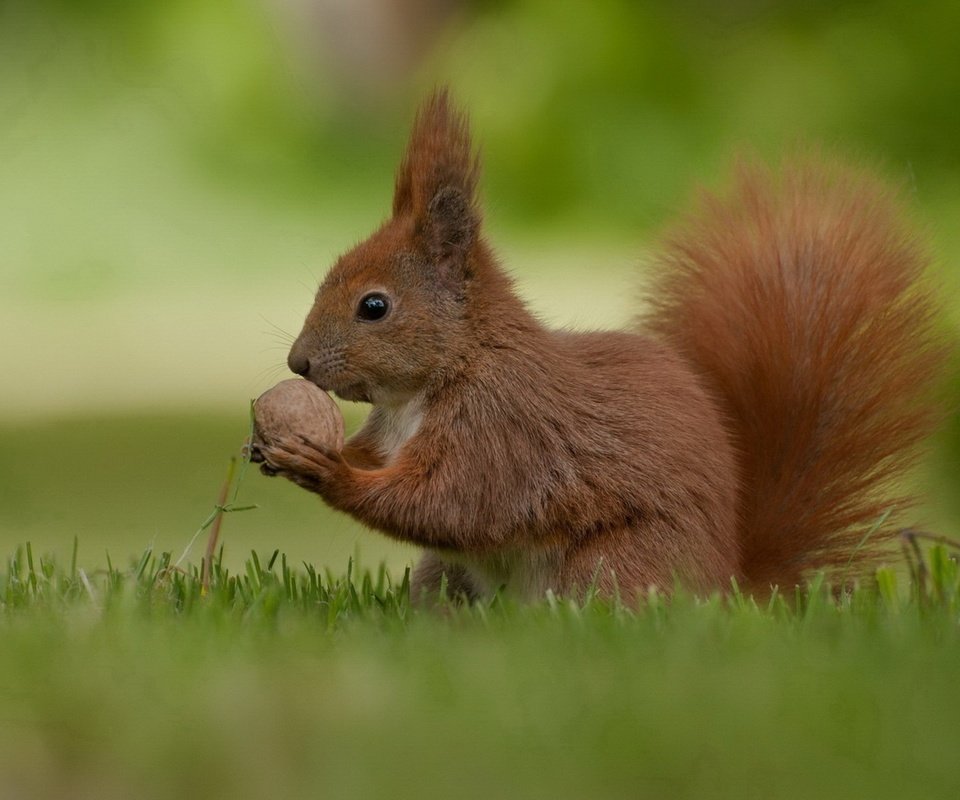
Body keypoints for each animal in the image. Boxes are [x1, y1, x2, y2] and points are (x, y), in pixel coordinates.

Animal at [255, 89, 944, 600]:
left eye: (374, 306)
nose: (298, 362)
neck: (431, 383)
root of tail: (728, 585)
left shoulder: (504, 431)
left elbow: (448, 504)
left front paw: (329, 471)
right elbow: (386, 466)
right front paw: (281, 448)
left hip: (611, 566)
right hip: (444, 577)